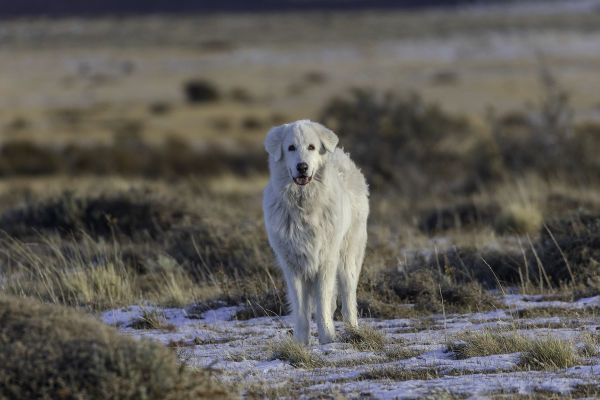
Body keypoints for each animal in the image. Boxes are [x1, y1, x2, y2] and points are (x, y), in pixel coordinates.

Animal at [264, 119, 368, 344]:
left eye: (311, 147)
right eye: (291, 148)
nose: (302, 167)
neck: (304, 205)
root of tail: (340, 153)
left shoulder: (326, 260)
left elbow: (322, 303)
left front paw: (327, 339)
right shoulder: (292, 265)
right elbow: (302, 309)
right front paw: (301, 342)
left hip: (347, 256)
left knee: (348, 297)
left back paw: (353, 331)